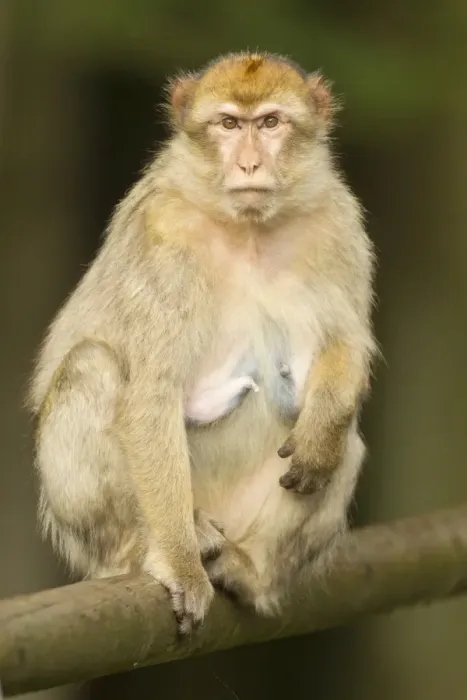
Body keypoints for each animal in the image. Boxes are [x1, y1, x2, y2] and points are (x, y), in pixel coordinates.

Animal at [28, 51, 377, 635]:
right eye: (229, 125)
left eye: (271, 123)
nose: (250, 165)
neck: (250, 229)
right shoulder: (163, 232)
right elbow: (151, 393)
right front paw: (179, 565)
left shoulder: (337, 219)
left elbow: (348, 341)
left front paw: (322, 430)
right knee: (92, 367)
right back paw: (161, 543)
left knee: (344, 440)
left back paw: (248, 569)